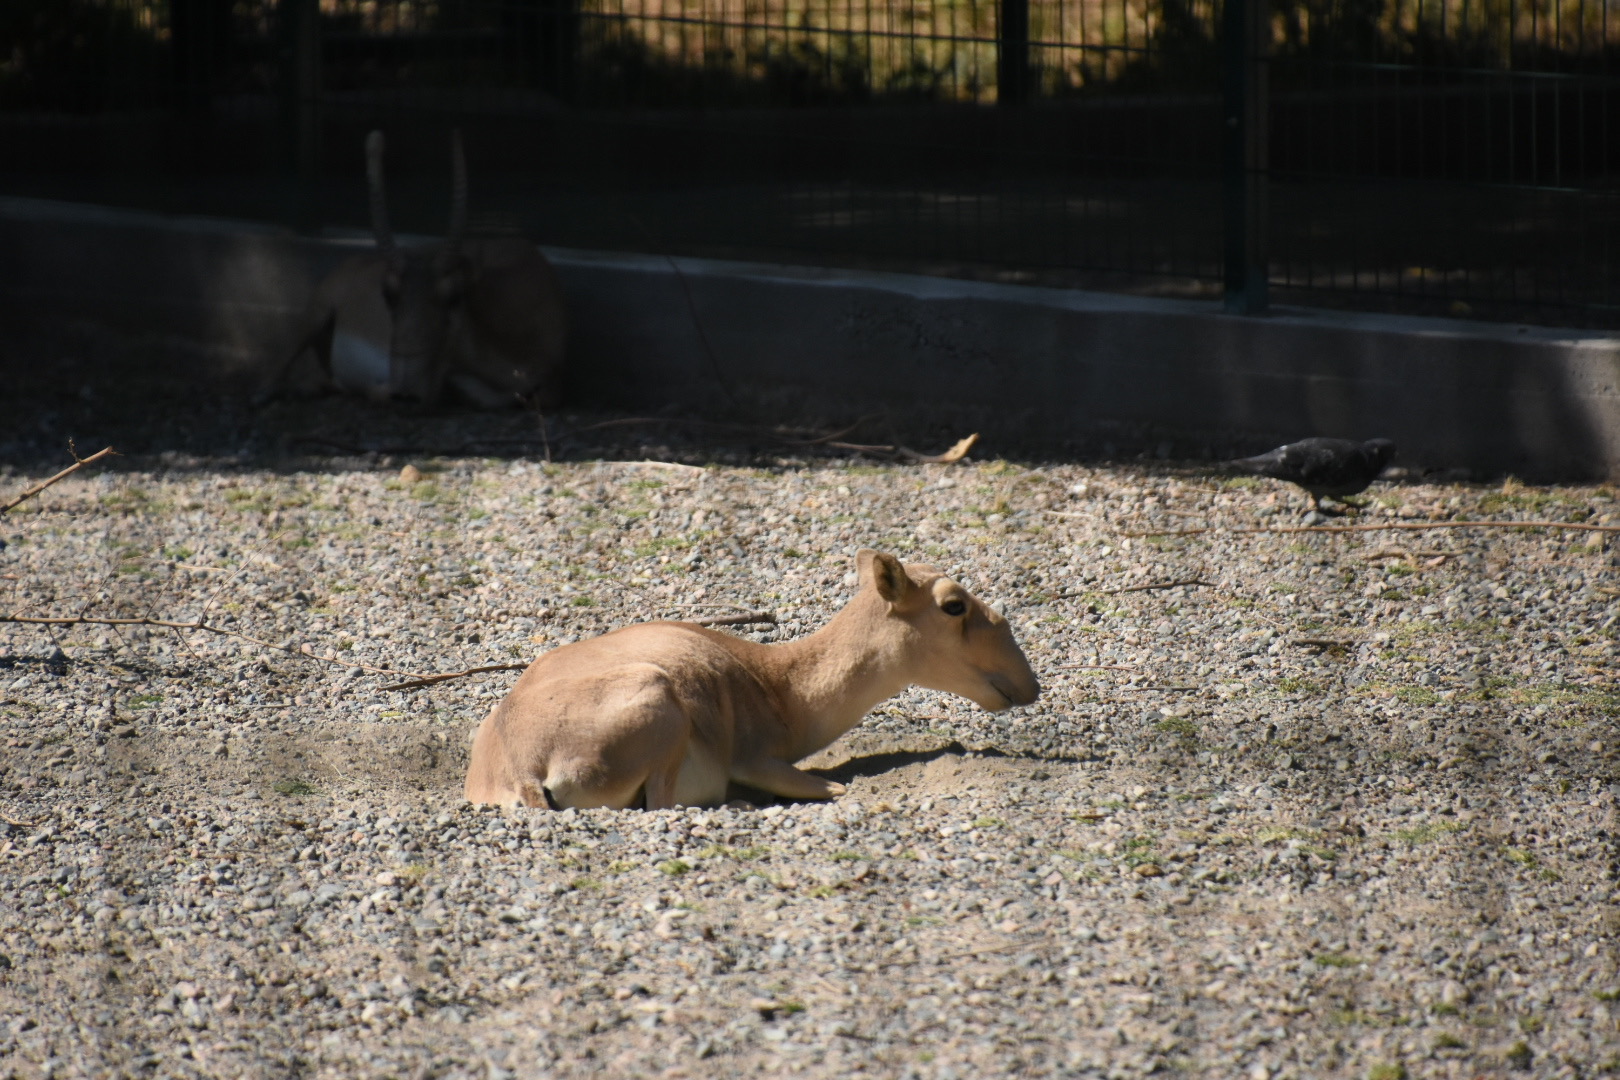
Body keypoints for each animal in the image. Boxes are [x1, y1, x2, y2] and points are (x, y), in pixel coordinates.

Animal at [465, 549, 1041, 810]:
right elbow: (835, 786)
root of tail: (521, 768)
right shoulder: (755, 758)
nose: (1028, 685)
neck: (777, 683)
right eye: (954, 605)